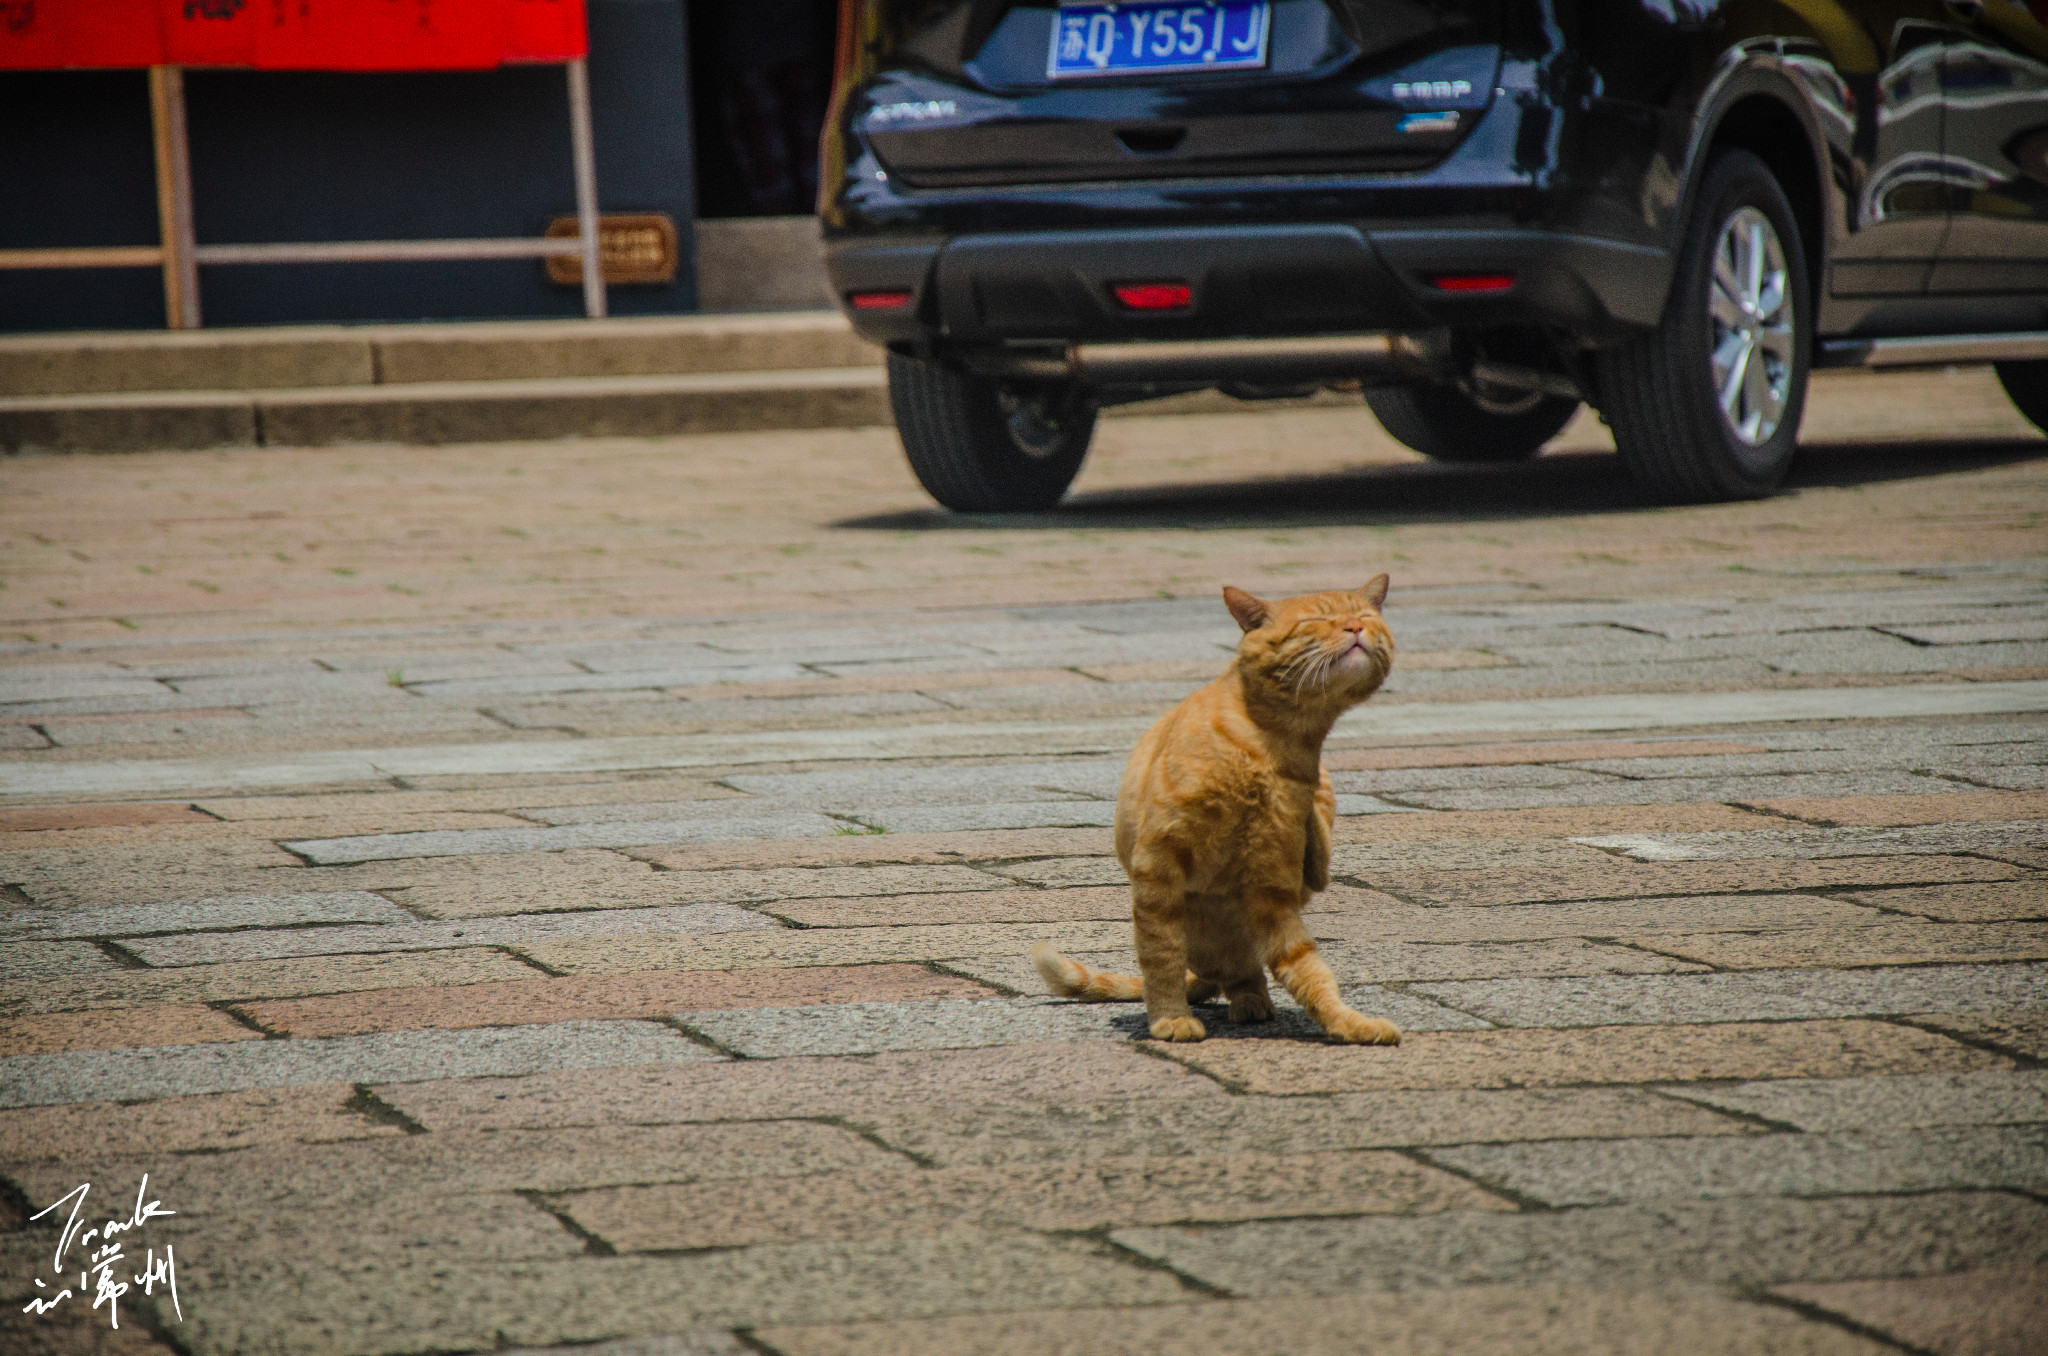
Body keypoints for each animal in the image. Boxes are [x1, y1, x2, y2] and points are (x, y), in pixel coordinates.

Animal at [1032, 577, 1400, 1044]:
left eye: (1367, 616)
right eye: (1316, 621)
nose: (1355, 627)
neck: (1276, 740)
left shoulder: (1271, 883)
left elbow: (1307, 968)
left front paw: (1347, 1023)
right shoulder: (1159, 863)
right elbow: (1161, 955)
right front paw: (1170, 1017)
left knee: (1249, 967)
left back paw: (1252, 1002)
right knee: (1217, 967)